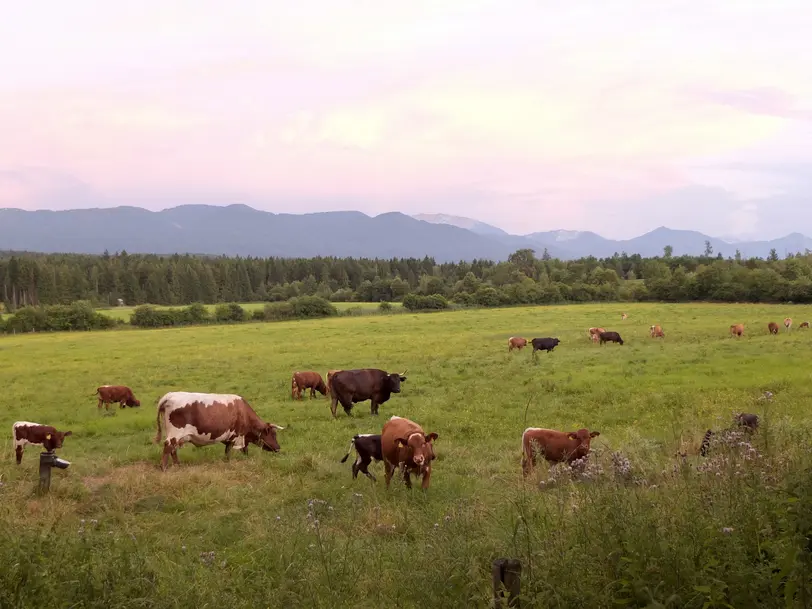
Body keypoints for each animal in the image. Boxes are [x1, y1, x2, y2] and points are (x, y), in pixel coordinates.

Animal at [155, 392, 286, 472]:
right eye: (273, 434)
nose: (278, 448)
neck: (243, 412)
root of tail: (170, 395)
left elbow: (244, 450)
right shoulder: (235, 436)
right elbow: (229, 452)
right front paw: (228, 462)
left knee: (173, 450)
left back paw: (178, 465)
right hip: (175, 434)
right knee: (168, 447)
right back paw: (164, 467)